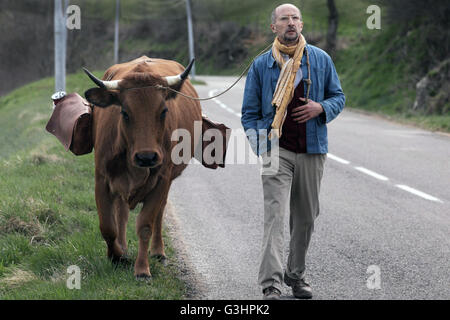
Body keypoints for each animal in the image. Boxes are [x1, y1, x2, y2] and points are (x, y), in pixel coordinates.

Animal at [83, 56, 202, 278]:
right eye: (124, 112)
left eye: (163, 111)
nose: (146, 157)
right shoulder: (101, 179)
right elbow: (107, 226)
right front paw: (117, 256)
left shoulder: (162, 180)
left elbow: (145, 225)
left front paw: (142, 269)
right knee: (121, 213)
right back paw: (122, 247)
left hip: (167, 181)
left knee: (160, 212)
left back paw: (158, 251)